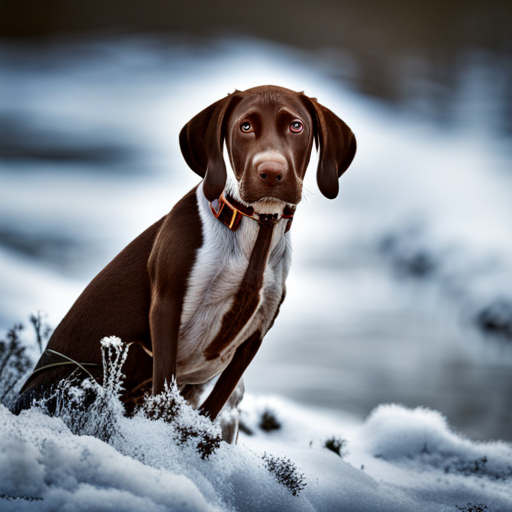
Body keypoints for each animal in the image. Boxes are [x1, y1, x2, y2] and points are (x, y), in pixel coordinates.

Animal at [16, 86, 356, 442]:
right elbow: (165, 390)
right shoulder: (167, 305)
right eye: (245, 127)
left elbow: (215, 403)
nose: (271, 172)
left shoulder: (256, 332)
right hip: (124, 354)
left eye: (296, 126)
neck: (256, 234)